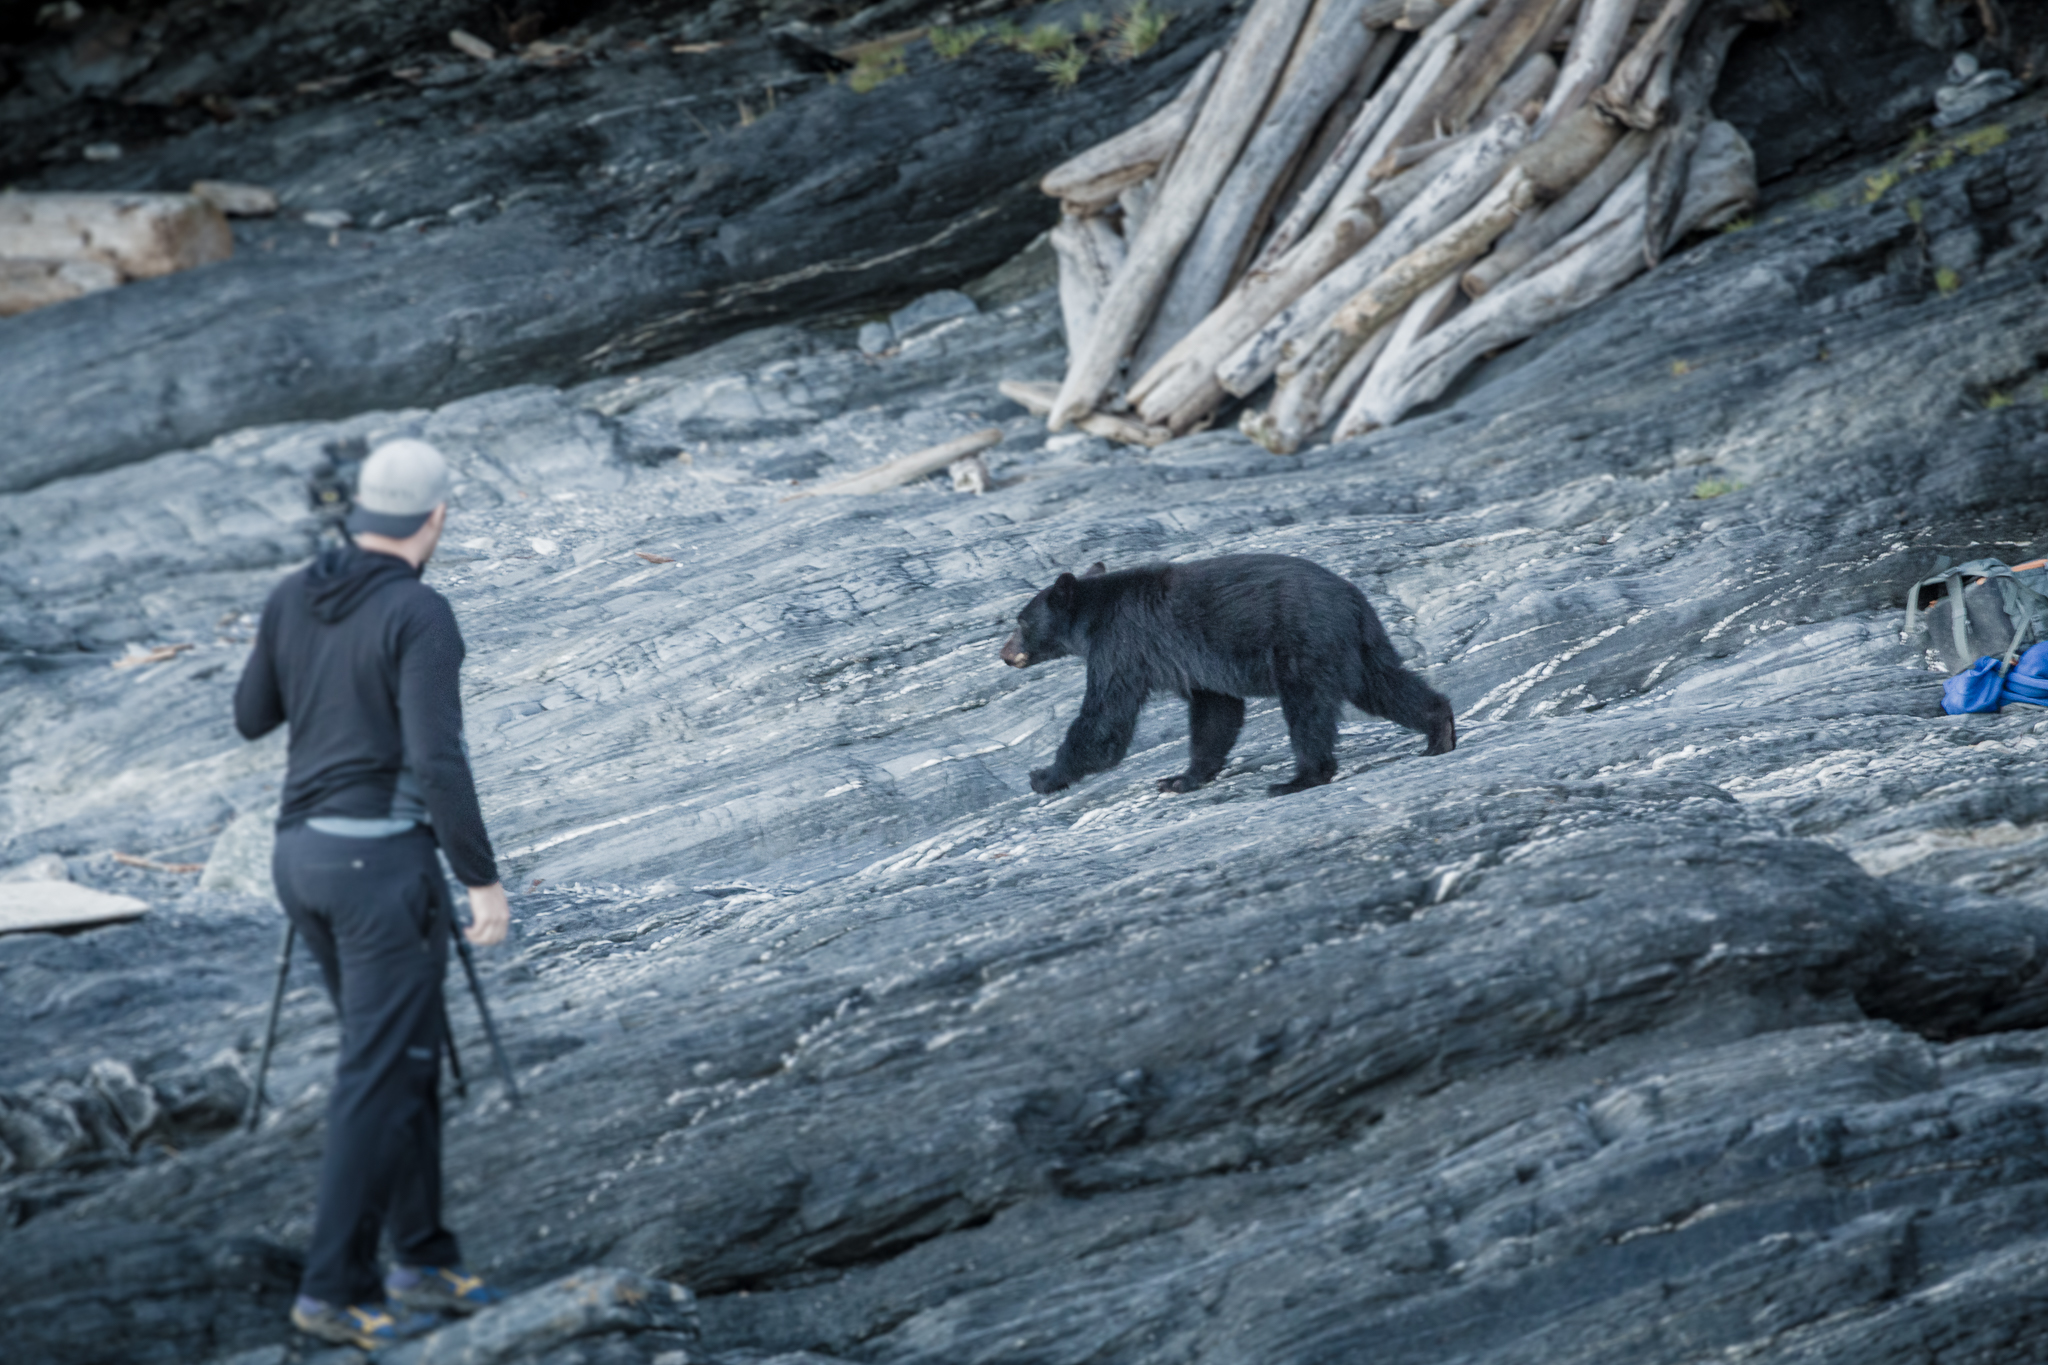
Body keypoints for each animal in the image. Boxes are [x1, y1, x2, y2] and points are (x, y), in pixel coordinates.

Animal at [995, 548, 1449, 794]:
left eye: (1020, 622)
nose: (1003, 654)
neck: (1092, 616)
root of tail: (1353, 599)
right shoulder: (1197, 663)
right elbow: (1216, 712)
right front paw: (1181, 778)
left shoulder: (1121, 645)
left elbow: (1105, 721)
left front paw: (1043, 776)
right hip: (1356, 645)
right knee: (1384, 685)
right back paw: (1439, 730)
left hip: (1302, 643)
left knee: (1308, 709)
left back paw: (1299, 778)